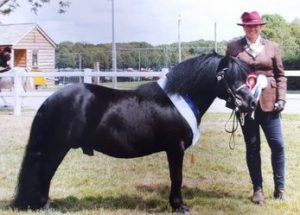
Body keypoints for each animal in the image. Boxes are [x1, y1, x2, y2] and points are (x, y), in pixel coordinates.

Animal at [11, 53, 255, 214]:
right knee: (44, 172)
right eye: (229, 76)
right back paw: (43, 205)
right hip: (56, 147)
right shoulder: (175, 149)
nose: (251, 103)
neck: (178, 99)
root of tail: (50, 100)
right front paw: (179, 206)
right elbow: (177, 177)